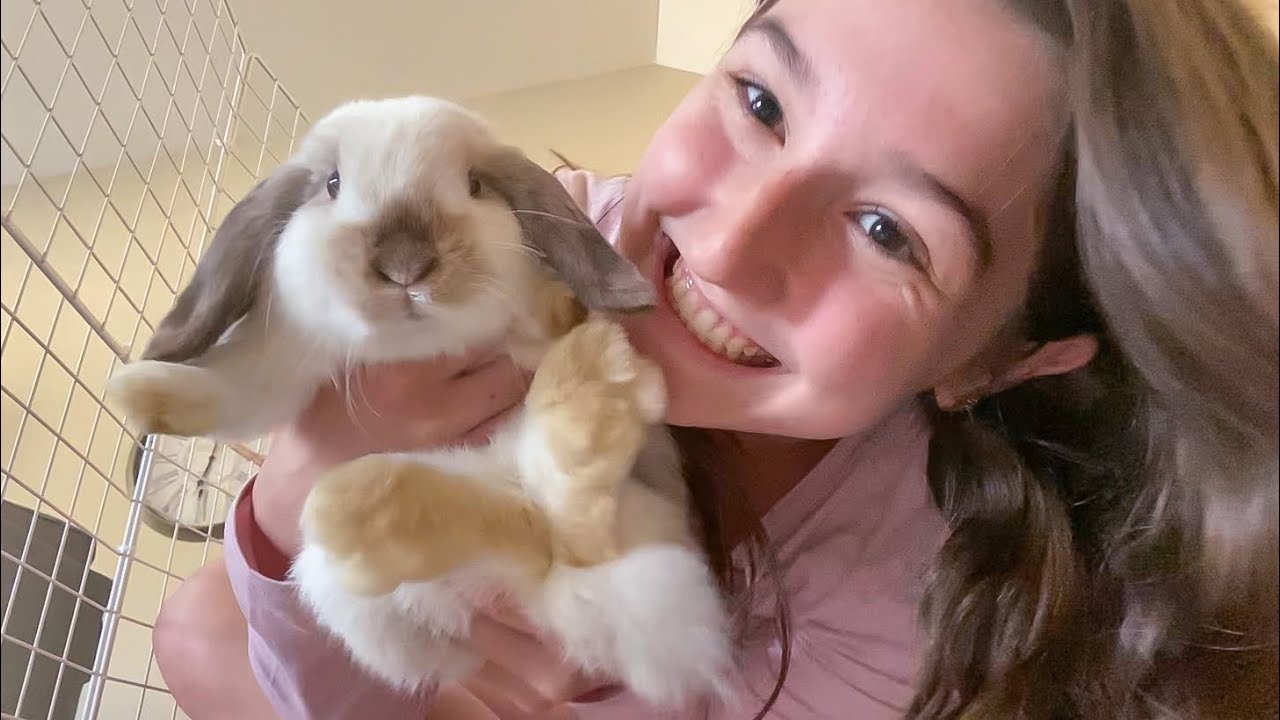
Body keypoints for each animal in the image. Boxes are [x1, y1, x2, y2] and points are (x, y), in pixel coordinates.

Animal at [105, 96, 735, 711]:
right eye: (332, 183)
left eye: (475, 184)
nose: (405, 264)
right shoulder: (283, 361)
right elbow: (235, 392)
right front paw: (135, 390)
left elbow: (538, 320)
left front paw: (556, 305)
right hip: (356, 594)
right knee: (533, 531)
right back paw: (369, 507)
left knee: (569, 527)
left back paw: (594, 375)